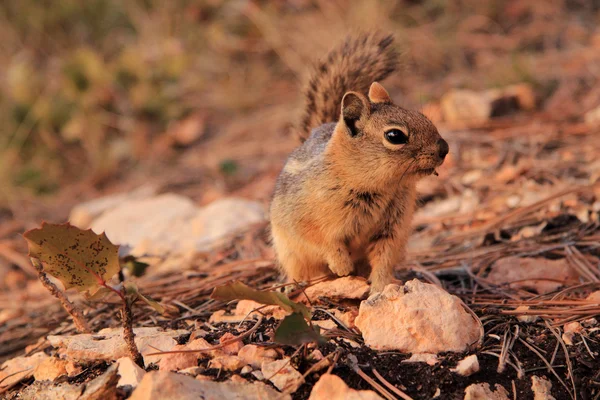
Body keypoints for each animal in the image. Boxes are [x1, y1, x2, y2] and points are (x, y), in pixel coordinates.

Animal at [270, 32, 448, 292]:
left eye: (423, 116)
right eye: (395, 136)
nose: (444, 148)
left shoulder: (392, 229)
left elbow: (384, 258)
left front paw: (382, 287)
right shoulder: (304, 218)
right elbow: (321, 241)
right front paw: (342, 266)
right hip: (289, 253)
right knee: (301, 271)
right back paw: (293, 285)